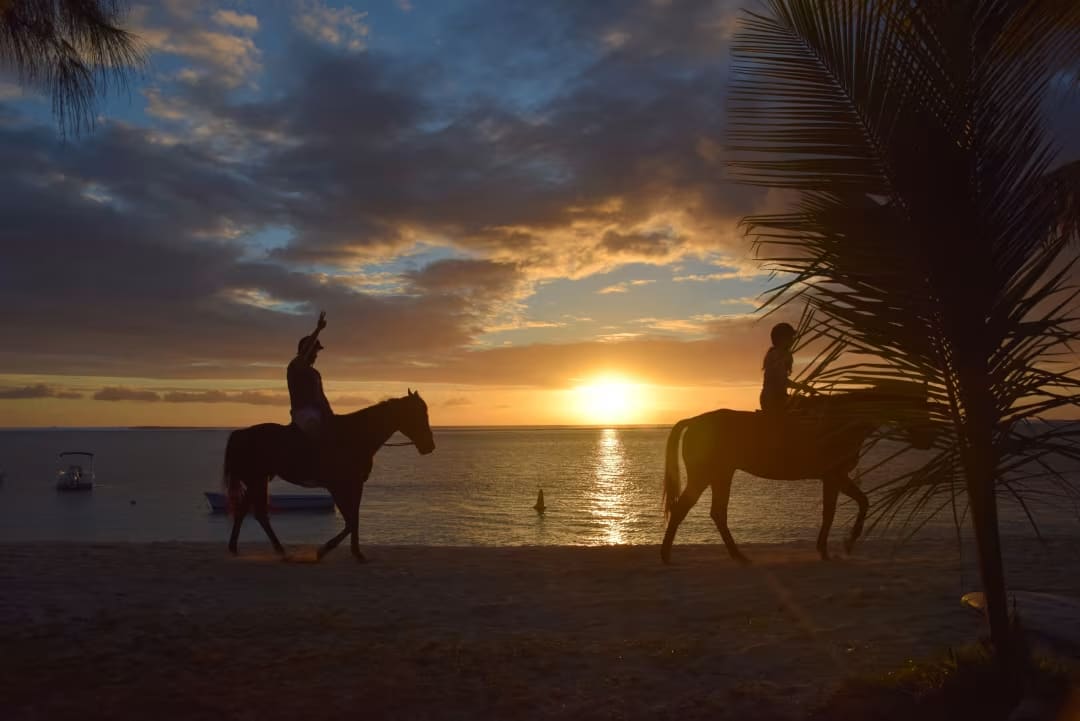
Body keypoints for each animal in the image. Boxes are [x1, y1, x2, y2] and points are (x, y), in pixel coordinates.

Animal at [223, 390, 434, 561]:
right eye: (418, 413)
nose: (429, 446)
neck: (355, 436)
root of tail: (241, 433)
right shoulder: (337, 486)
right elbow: (350, 521)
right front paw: (324, 550)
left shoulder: (356, 484)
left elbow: (354, 518)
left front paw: (356, 552)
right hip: (256, 480)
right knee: (255, 513)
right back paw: (274, 550)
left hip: (257, 480)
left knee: (246, 512)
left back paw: (245, 548)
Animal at [660, 382, 933, 561]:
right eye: (921, 407)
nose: (927, 441)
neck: (842, 422)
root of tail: (694, 421)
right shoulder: (833, 477)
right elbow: (831, 512)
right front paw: (827, 549)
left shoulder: (838, 477)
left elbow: (862, 502)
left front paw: (847, 542)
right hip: (707, 475)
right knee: (686, 509)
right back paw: (668, 555)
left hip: (721, 475)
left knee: (714, 512)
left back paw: (734, 555)